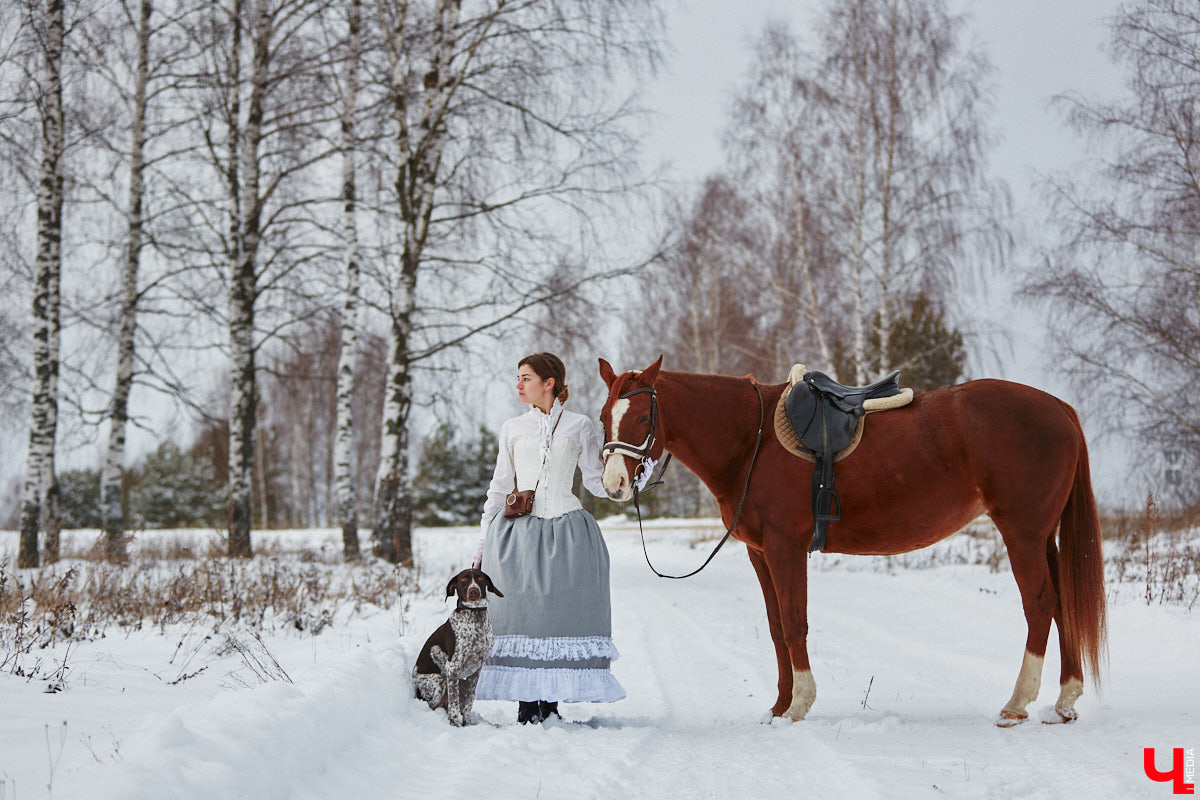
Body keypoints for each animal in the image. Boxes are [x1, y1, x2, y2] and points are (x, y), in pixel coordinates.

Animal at [415, 566, 504, 729]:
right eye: (463, 580)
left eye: (480, 578)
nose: (473, 591)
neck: (475, 618)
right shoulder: (452, 669)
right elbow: (454, 707)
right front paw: (455, 727)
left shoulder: (475, 671)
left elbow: (468, 703)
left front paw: (467, 726)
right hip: (439, 681)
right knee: (433, 705)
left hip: (459, 682)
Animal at [597, 357, 1104, 724]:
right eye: (605, 416)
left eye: (642, 416)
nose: (614, 484)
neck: (750, 441)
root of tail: (1060, 409)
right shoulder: (760, 554)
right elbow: (776, 628)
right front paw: (779, 706)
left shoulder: (785, 548)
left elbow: (794, 623)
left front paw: (800, 704)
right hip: (1045, 537)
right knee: (1062, 604)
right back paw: (1065, 701)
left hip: (1022, 533)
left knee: (1040, 604)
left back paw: (1017, 704)